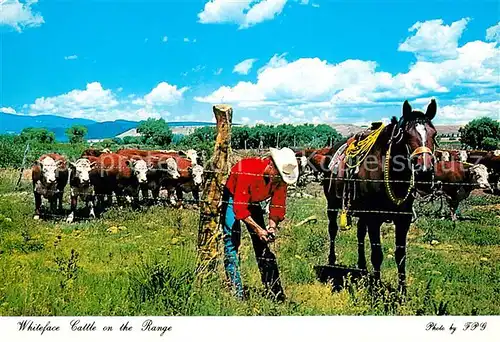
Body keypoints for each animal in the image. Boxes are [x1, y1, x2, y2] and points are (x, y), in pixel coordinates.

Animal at [324, 99, 438, 294]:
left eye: (434, 134)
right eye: (406, 135)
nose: (424, 172)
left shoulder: (403, 220)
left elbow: (401, 255)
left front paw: (402, 291)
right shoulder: (374, 218)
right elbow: (377, 254)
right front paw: (376, 289)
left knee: (360, 234)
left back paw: (362, 266)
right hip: (332, 205)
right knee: (333, 229)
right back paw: (332, 261)